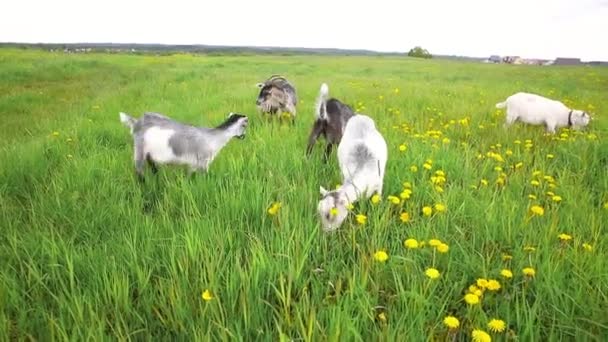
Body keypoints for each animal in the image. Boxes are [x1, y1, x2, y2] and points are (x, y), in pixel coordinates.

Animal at [119, 111, 247, 180]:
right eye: (245, 126)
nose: (244, 136)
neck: (212, 137)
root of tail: (136, 122)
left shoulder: (193, 164)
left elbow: (190, 176)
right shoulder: (203, 161)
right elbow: (206, 177)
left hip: (149, 154)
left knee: (153, 166)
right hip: (139, 148)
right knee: (139, 170)